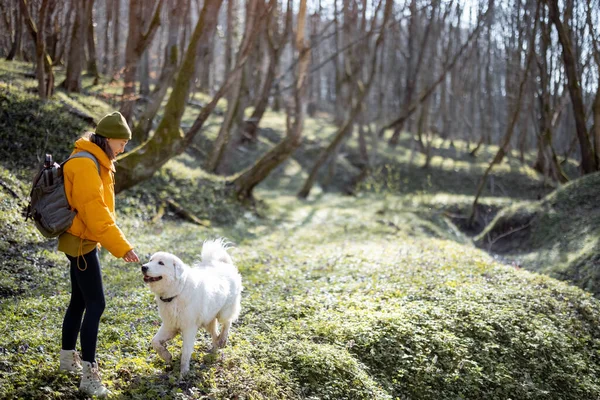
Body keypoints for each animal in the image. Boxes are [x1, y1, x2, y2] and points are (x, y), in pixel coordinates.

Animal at [142, 239, 243, 376]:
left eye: (161, 263)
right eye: (150, 260)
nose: (143, 267)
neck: (177, 292)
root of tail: (222, 263)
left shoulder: (189, 328)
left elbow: (185, 353)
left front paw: (183, 374)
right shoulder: (170, 326)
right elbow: (155, 342)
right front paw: (166, 356)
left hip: (224, 312)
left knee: (227, 322)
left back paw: (223, 339)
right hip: (208, 320)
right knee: (214, 333)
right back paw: (214, 349)